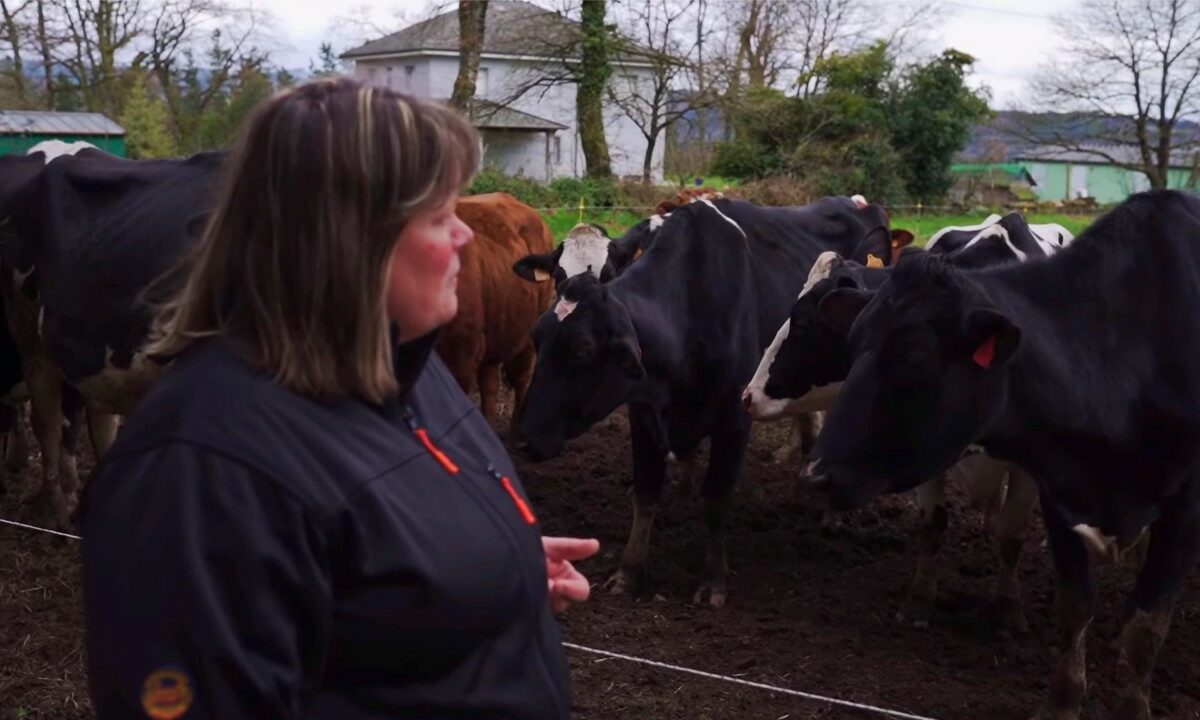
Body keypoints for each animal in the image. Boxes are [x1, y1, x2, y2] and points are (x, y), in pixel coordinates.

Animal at [511, 194, 897, 604]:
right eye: (538, 337)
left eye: (582, 350)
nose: (524, 438)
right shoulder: (644, 413)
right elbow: (645, 494)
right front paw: (630, 570)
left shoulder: (735, 419)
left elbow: (716, 496)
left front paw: (713, 578)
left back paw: (831, 513)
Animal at [739, 211, 1080, 628]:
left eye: (802, 322)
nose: (748, 396)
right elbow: (932, 526)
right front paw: (919, 600)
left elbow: (1012, 534)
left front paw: (1008, 609)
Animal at [806, 190, 1200, 720]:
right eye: (853, 345)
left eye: (915, 359)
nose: (817, 474)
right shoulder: (1059, 493)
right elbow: (1075, 606)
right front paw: (1061, 704)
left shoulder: (1184, 510)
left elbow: (1148, 626)